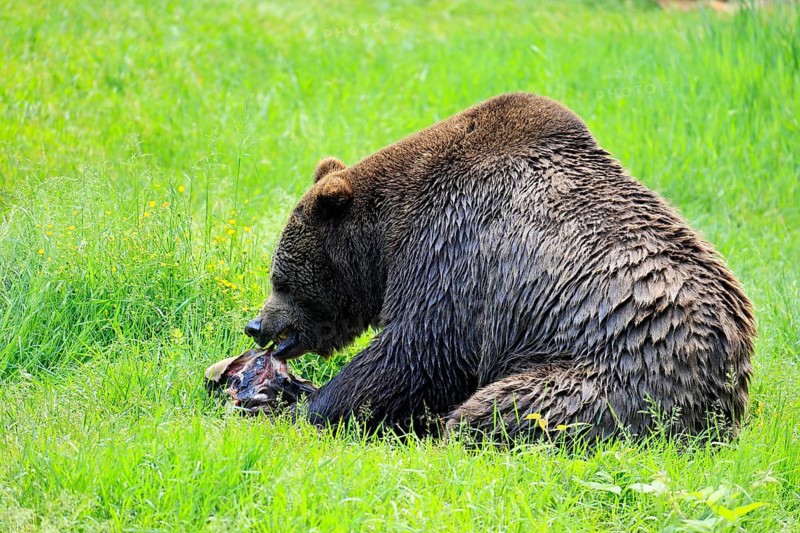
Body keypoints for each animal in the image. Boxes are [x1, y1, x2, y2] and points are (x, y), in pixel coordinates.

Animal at [244, 93, 755, 442]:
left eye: (280, 279)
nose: (256, 325)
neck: (387, 240)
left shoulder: (452, 255)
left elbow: (413, 352)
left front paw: (299, 406)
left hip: (608, 374)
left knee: (506, 408)